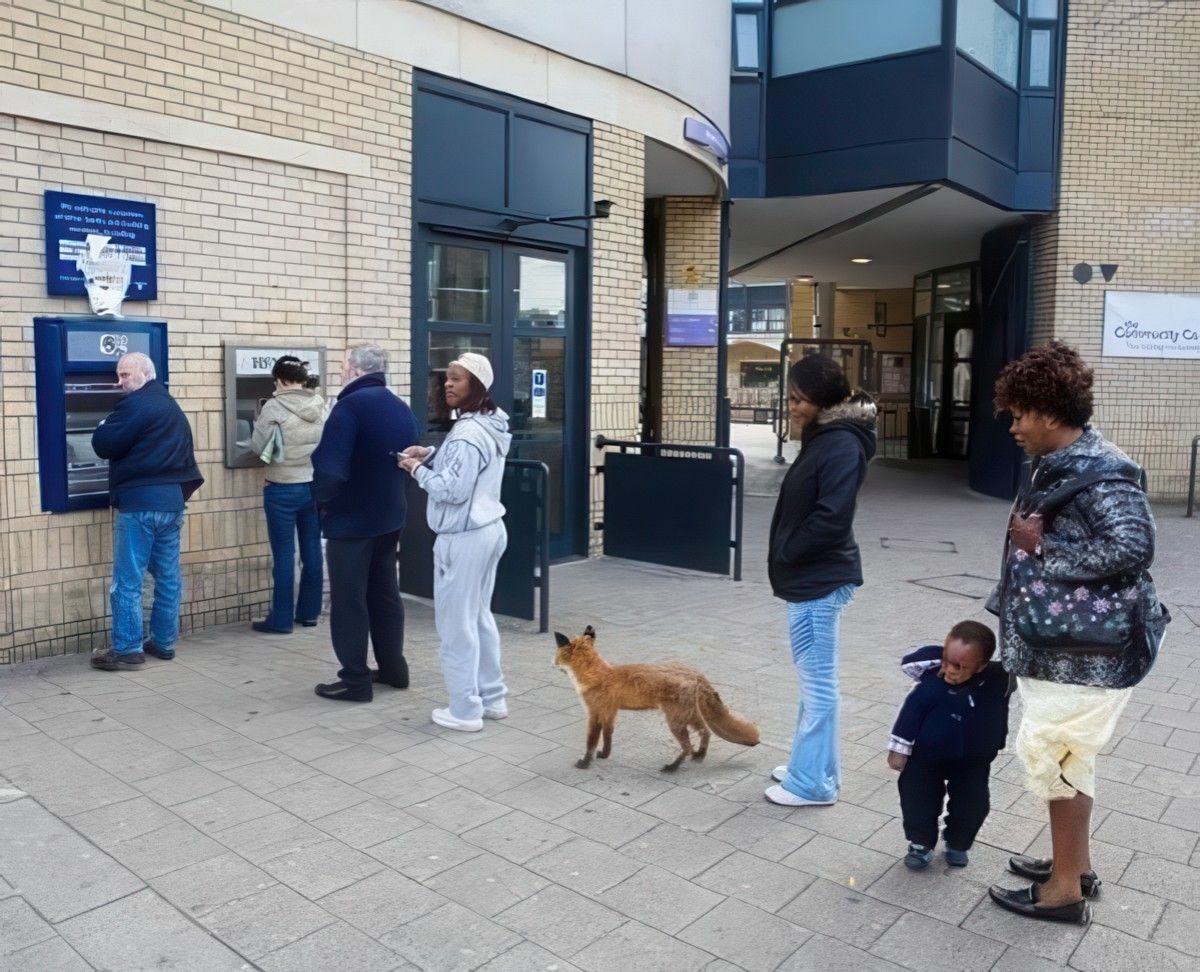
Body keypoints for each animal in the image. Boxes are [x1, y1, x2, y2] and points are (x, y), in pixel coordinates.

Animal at [552, 624, 758, 768]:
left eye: (557, 657)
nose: (552, 664)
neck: (599, 675)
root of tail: (695, 674)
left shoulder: (594, 714)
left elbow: (591, 742)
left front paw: (585, 763)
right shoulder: (610, 712)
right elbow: (608, 736)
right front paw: (604, 754)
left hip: (675, 721)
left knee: (687, 746)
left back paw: (672, 767)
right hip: (689, 717)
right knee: (706, 732)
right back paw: (699, 755)